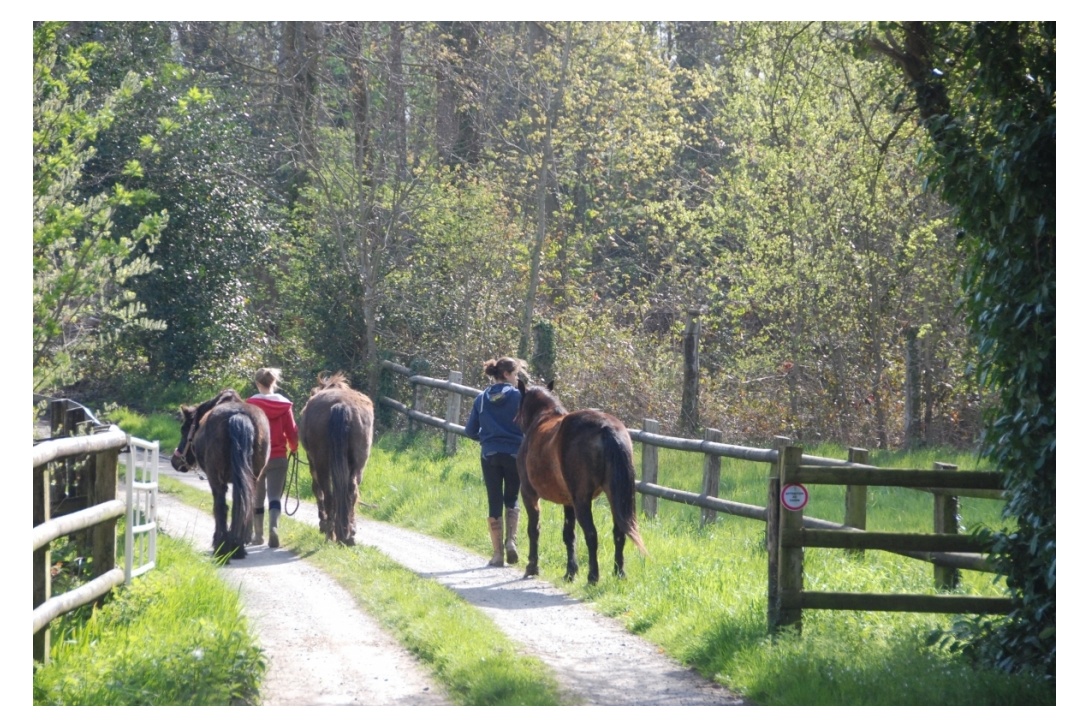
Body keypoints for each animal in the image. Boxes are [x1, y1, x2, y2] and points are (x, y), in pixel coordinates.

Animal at [172, 390, 272, 562]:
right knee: (240, 507)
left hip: (216, 479)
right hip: (250, 479)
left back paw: (222, 548)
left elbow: (219, 507)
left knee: (221, 507)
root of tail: (238, 416)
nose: (175, 461)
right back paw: (237, 548)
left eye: (184, 429)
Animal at [298, 374, 374, 544]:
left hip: (321, 464)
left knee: (328, 494)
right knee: (351, 491)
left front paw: (323, 523)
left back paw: (330, 533)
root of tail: (341, 405)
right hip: (359, 464)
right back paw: (348, 535)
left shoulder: (312, 462)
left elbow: (317, 490)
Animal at [512, 381, 640, 584]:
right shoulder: (568, 502)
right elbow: (569, 535)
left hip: (582, 501)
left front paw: (532, 566)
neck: (543, 418)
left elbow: (534, 529)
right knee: (619, 533)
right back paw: (619, 573)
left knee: (591, 534)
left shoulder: (529, 493)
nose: (515, 420)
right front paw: (570, 572)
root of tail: (605, 427)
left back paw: (593, 577)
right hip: (613, 498)